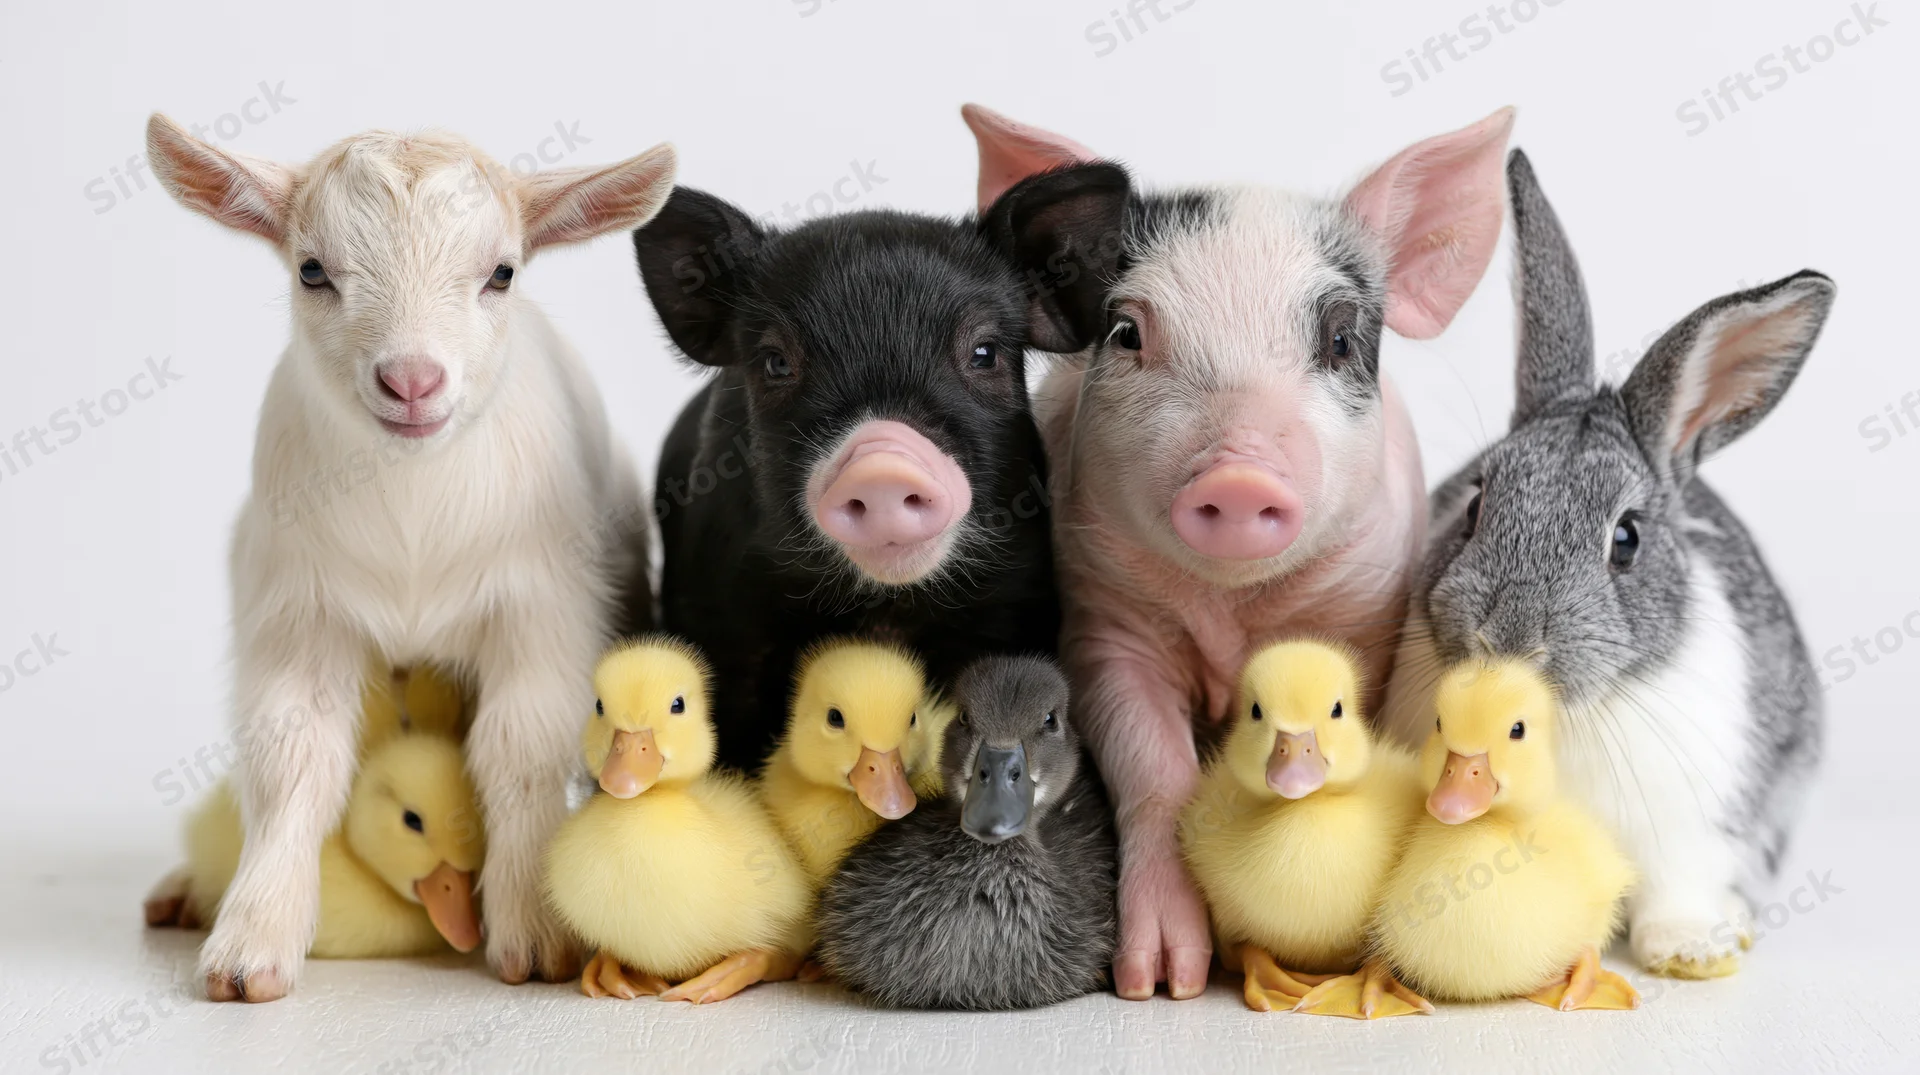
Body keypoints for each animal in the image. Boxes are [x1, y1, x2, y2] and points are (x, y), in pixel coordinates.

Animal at [1379, 148, 1835, 980]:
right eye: (1475, 502)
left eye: (1626, 538)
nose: (1508, 637)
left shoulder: (1694, 830)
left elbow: (1677, 892)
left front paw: (1692, 951)